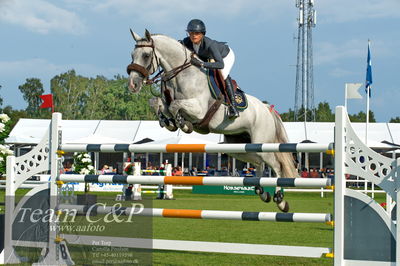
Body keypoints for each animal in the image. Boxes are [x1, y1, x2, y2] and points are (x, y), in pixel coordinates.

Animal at [126, 29, 298, 212]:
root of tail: (267, 109)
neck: (181, 75)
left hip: (262, 142)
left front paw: (183, 124)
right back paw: (262, 192)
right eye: (132, 55)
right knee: (259, 163)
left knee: (277, 165)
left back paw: (280, 200)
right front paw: (169, 122)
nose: (133, 85)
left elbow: (174, 105)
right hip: (239, 146)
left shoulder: (199, 109)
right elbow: (157, 103)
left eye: (145, 55)